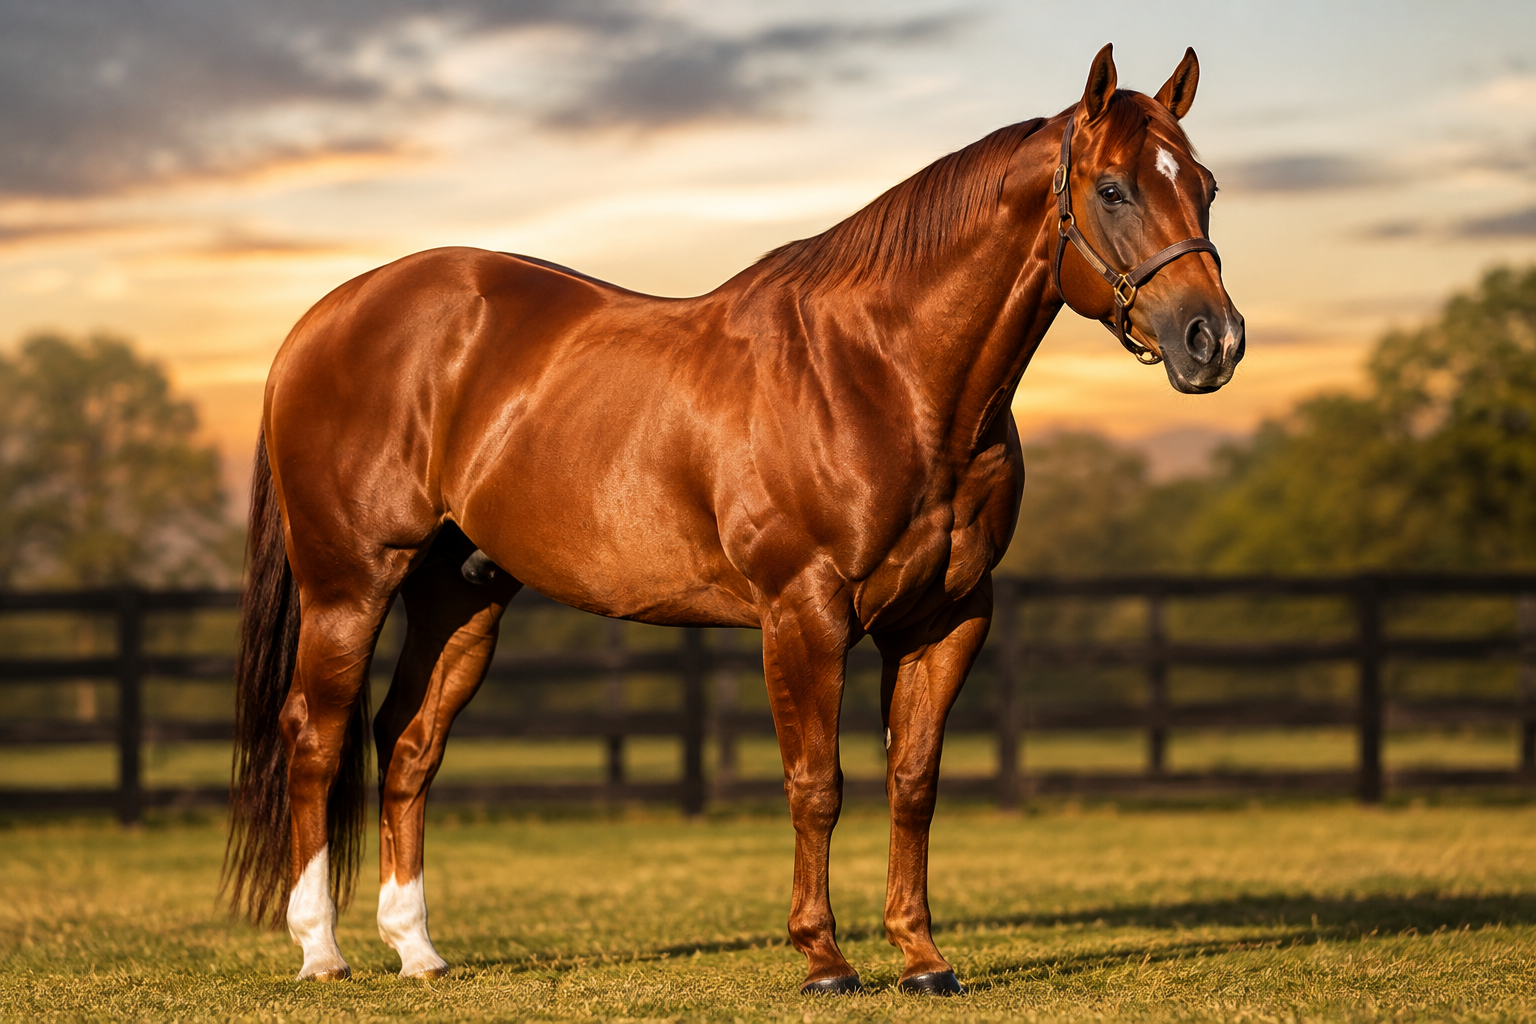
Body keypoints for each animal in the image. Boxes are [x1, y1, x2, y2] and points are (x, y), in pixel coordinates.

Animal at [223, 42, 1243, 995]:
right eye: (1111, 188)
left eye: (1205, 186)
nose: (1215, 340)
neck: (883, 374)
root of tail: (325, 318)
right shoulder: (804, 613)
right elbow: (817, 785)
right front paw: (825, 959)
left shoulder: (948, 618)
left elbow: (912, 783)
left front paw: (922, 958)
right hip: (350, 584)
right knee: (315, 737)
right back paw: (321, 952)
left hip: (459, 597)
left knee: (407, 743)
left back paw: (419, 952)